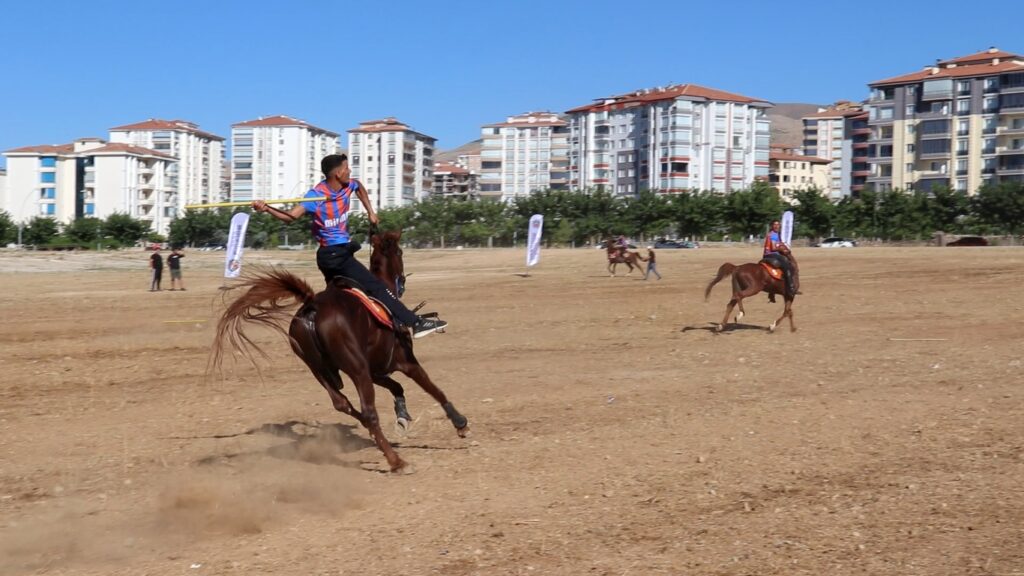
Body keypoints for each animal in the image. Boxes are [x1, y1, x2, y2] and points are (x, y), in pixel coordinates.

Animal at [211, 228, 468, 471]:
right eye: (400, 252)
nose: (402, 281)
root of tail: (312, 308)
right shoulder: (404, 362)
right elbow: (433, 389)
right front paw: (459, 422)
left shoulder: (376, 370)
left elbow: (397, 387)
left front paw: (402, 416)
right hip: (356, 370)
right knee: (368, 412)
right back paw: (397, 462)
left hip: (320, 370)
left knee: (342, 403)